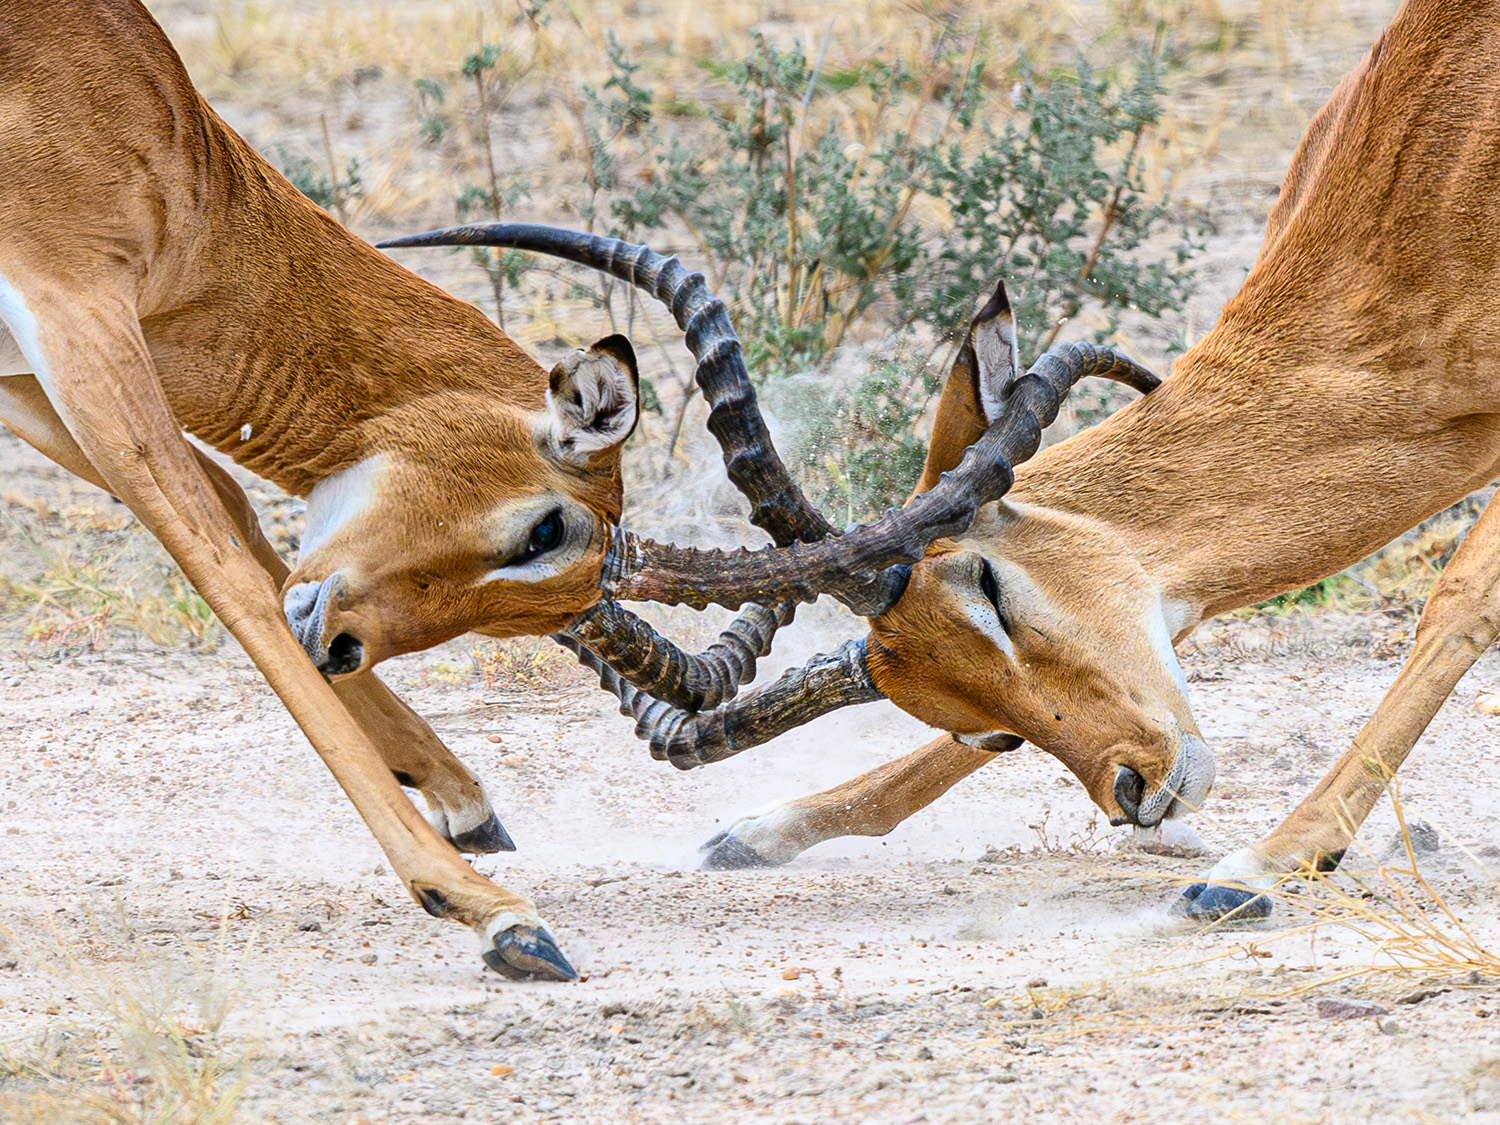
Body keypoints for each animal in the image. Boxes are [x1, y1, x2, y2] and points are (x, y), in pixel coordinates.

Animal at [411, 0, 1500, 922]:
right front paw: (760, 828)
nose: (1139, 791)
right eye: (986, 728)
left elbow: (1456, 606)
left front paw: (1257, 869)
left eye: (990, 583)